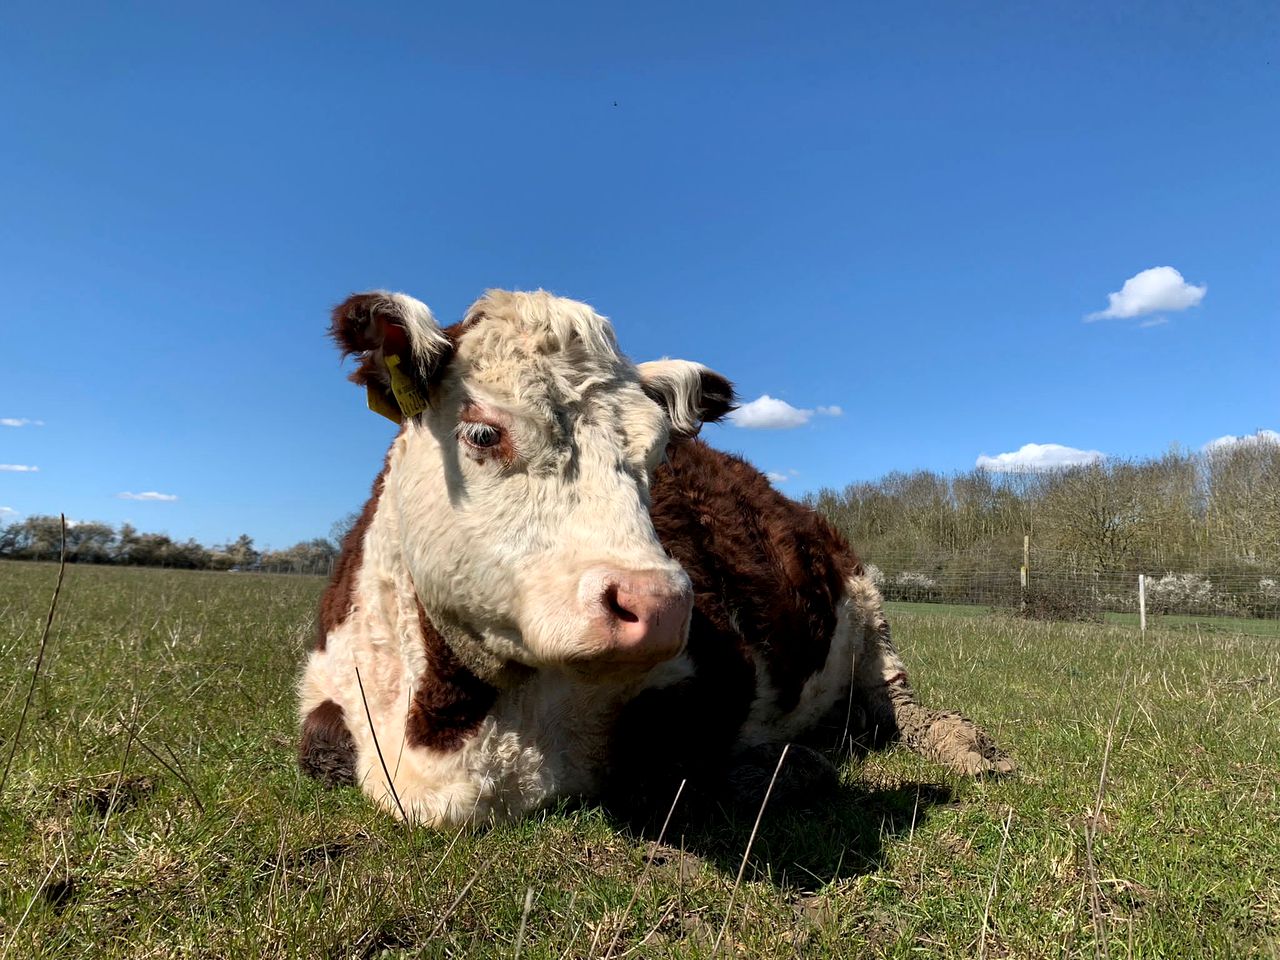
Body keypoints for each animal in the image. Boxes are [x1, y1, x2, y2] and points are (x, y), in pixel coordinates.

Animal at [296, 288, 1008, 829]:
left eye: (660, 452)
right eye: (482, 432)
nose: (660, 605)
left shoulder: (718, 677)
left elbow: (662, 774)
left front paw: (791, 768)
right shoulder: (324, 699)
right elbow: (319, 751)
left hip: (869, 610)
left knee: (900, 707)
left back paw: (968, 748)